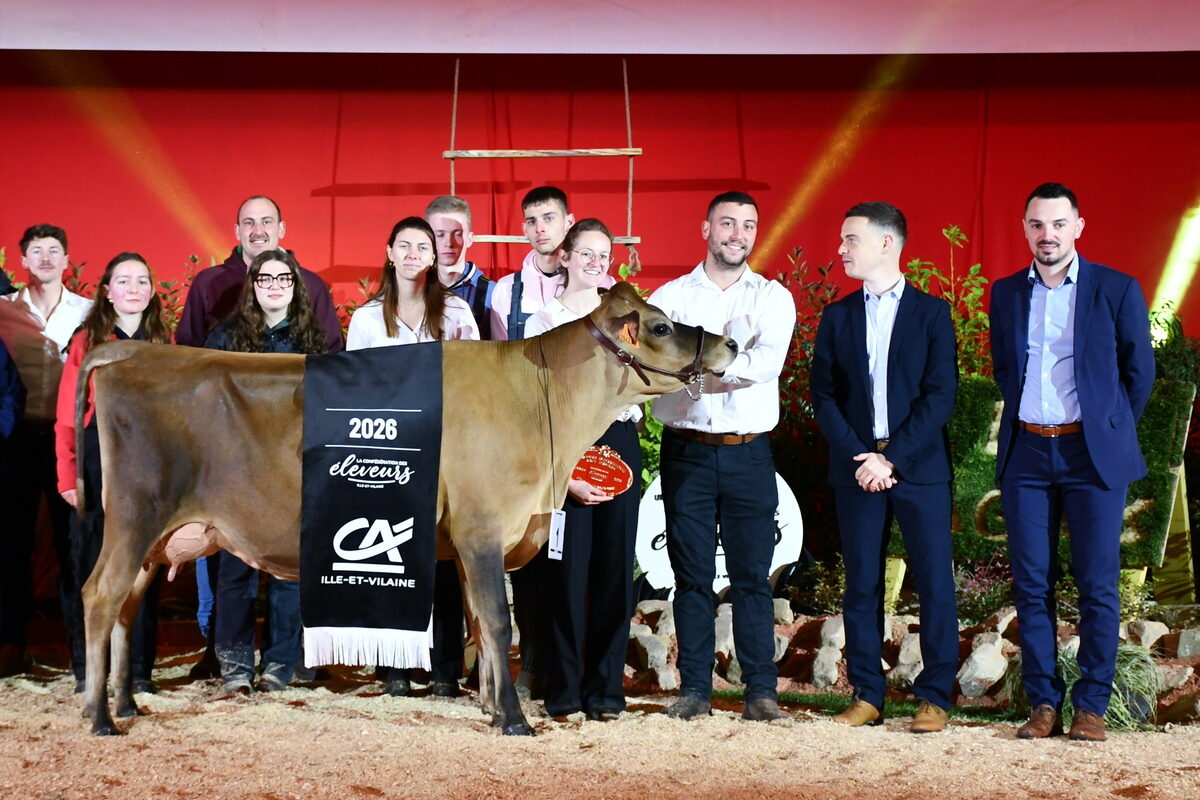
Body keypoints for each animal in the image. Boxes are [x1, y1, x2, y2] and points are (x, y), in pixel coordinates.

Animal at [76, 281, 738, 736]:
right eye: (660, 327)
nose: (729, 342)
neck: (541, 399)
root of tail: (134, 354)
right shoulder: (482, 529)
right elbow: (499, 622)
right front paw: (516, 720)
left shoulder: (472, 542)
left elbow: (479, 624)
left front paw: (491, 709)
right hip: (134, 516)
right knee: (100, 597)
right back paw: (98, 716)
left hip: (155, 538)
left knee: (126, 608)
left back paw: (126, 704)